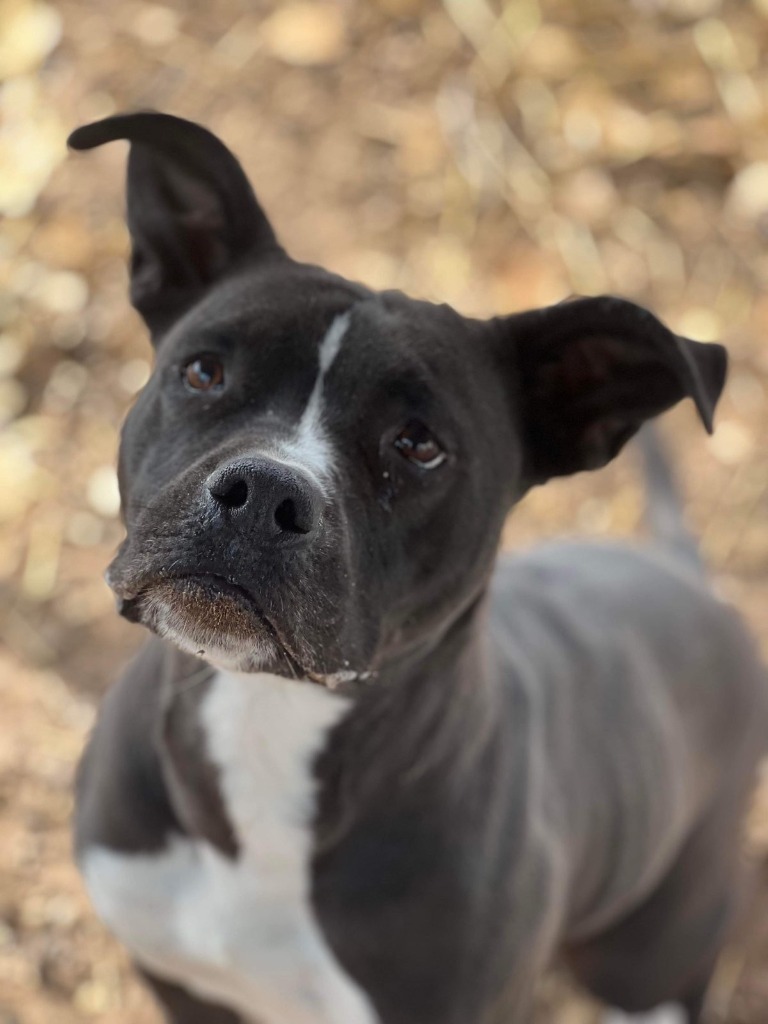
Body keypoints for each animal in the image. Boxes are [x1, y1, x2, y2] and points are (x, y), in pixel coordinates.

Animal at [67, 114, 768, 1024]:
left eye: (419, 444)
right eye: (203, 371)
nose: (263, 494)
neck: (267, 722)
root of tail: (686, 577)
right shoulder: (182, 984)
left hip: (652, 956)